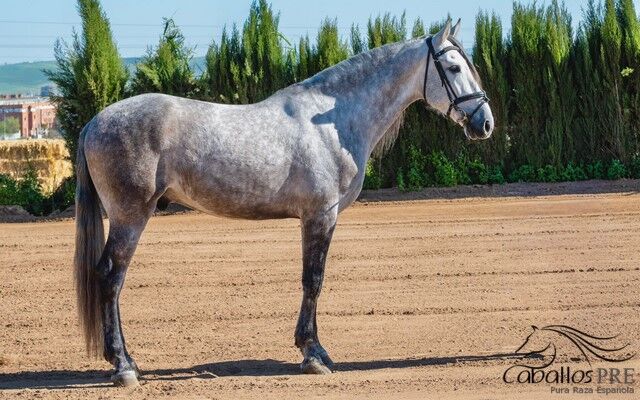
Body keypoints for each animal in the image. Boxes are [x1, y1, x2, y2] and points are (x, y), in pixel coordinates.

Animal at [74, 19, 494, 386]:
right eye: (454, 66)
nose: (484, 123)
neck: (333, 122)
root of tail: (94, 122)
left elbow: (312, 280)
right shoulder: (320, 215)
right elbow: (314, 280)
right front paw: (313, 355)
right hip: (130, 216)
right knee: (111, 277)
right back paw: (124, 366)